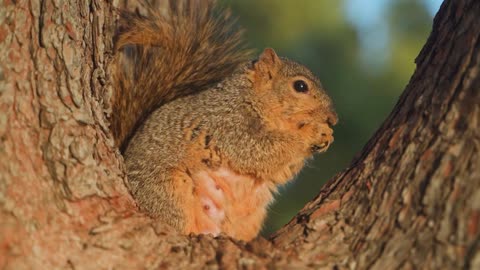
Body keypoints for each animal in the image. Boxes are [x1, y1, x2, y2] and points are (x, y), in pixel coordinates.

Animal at [110, 0, 338, 240]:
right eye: (300, 86)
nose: (333, 119)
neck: (252, 99)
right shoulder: (227, 122)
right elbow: (258, 150)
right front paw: (311, 133)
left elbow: (280, 171)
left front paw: (326, 136)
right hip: (168, 191)